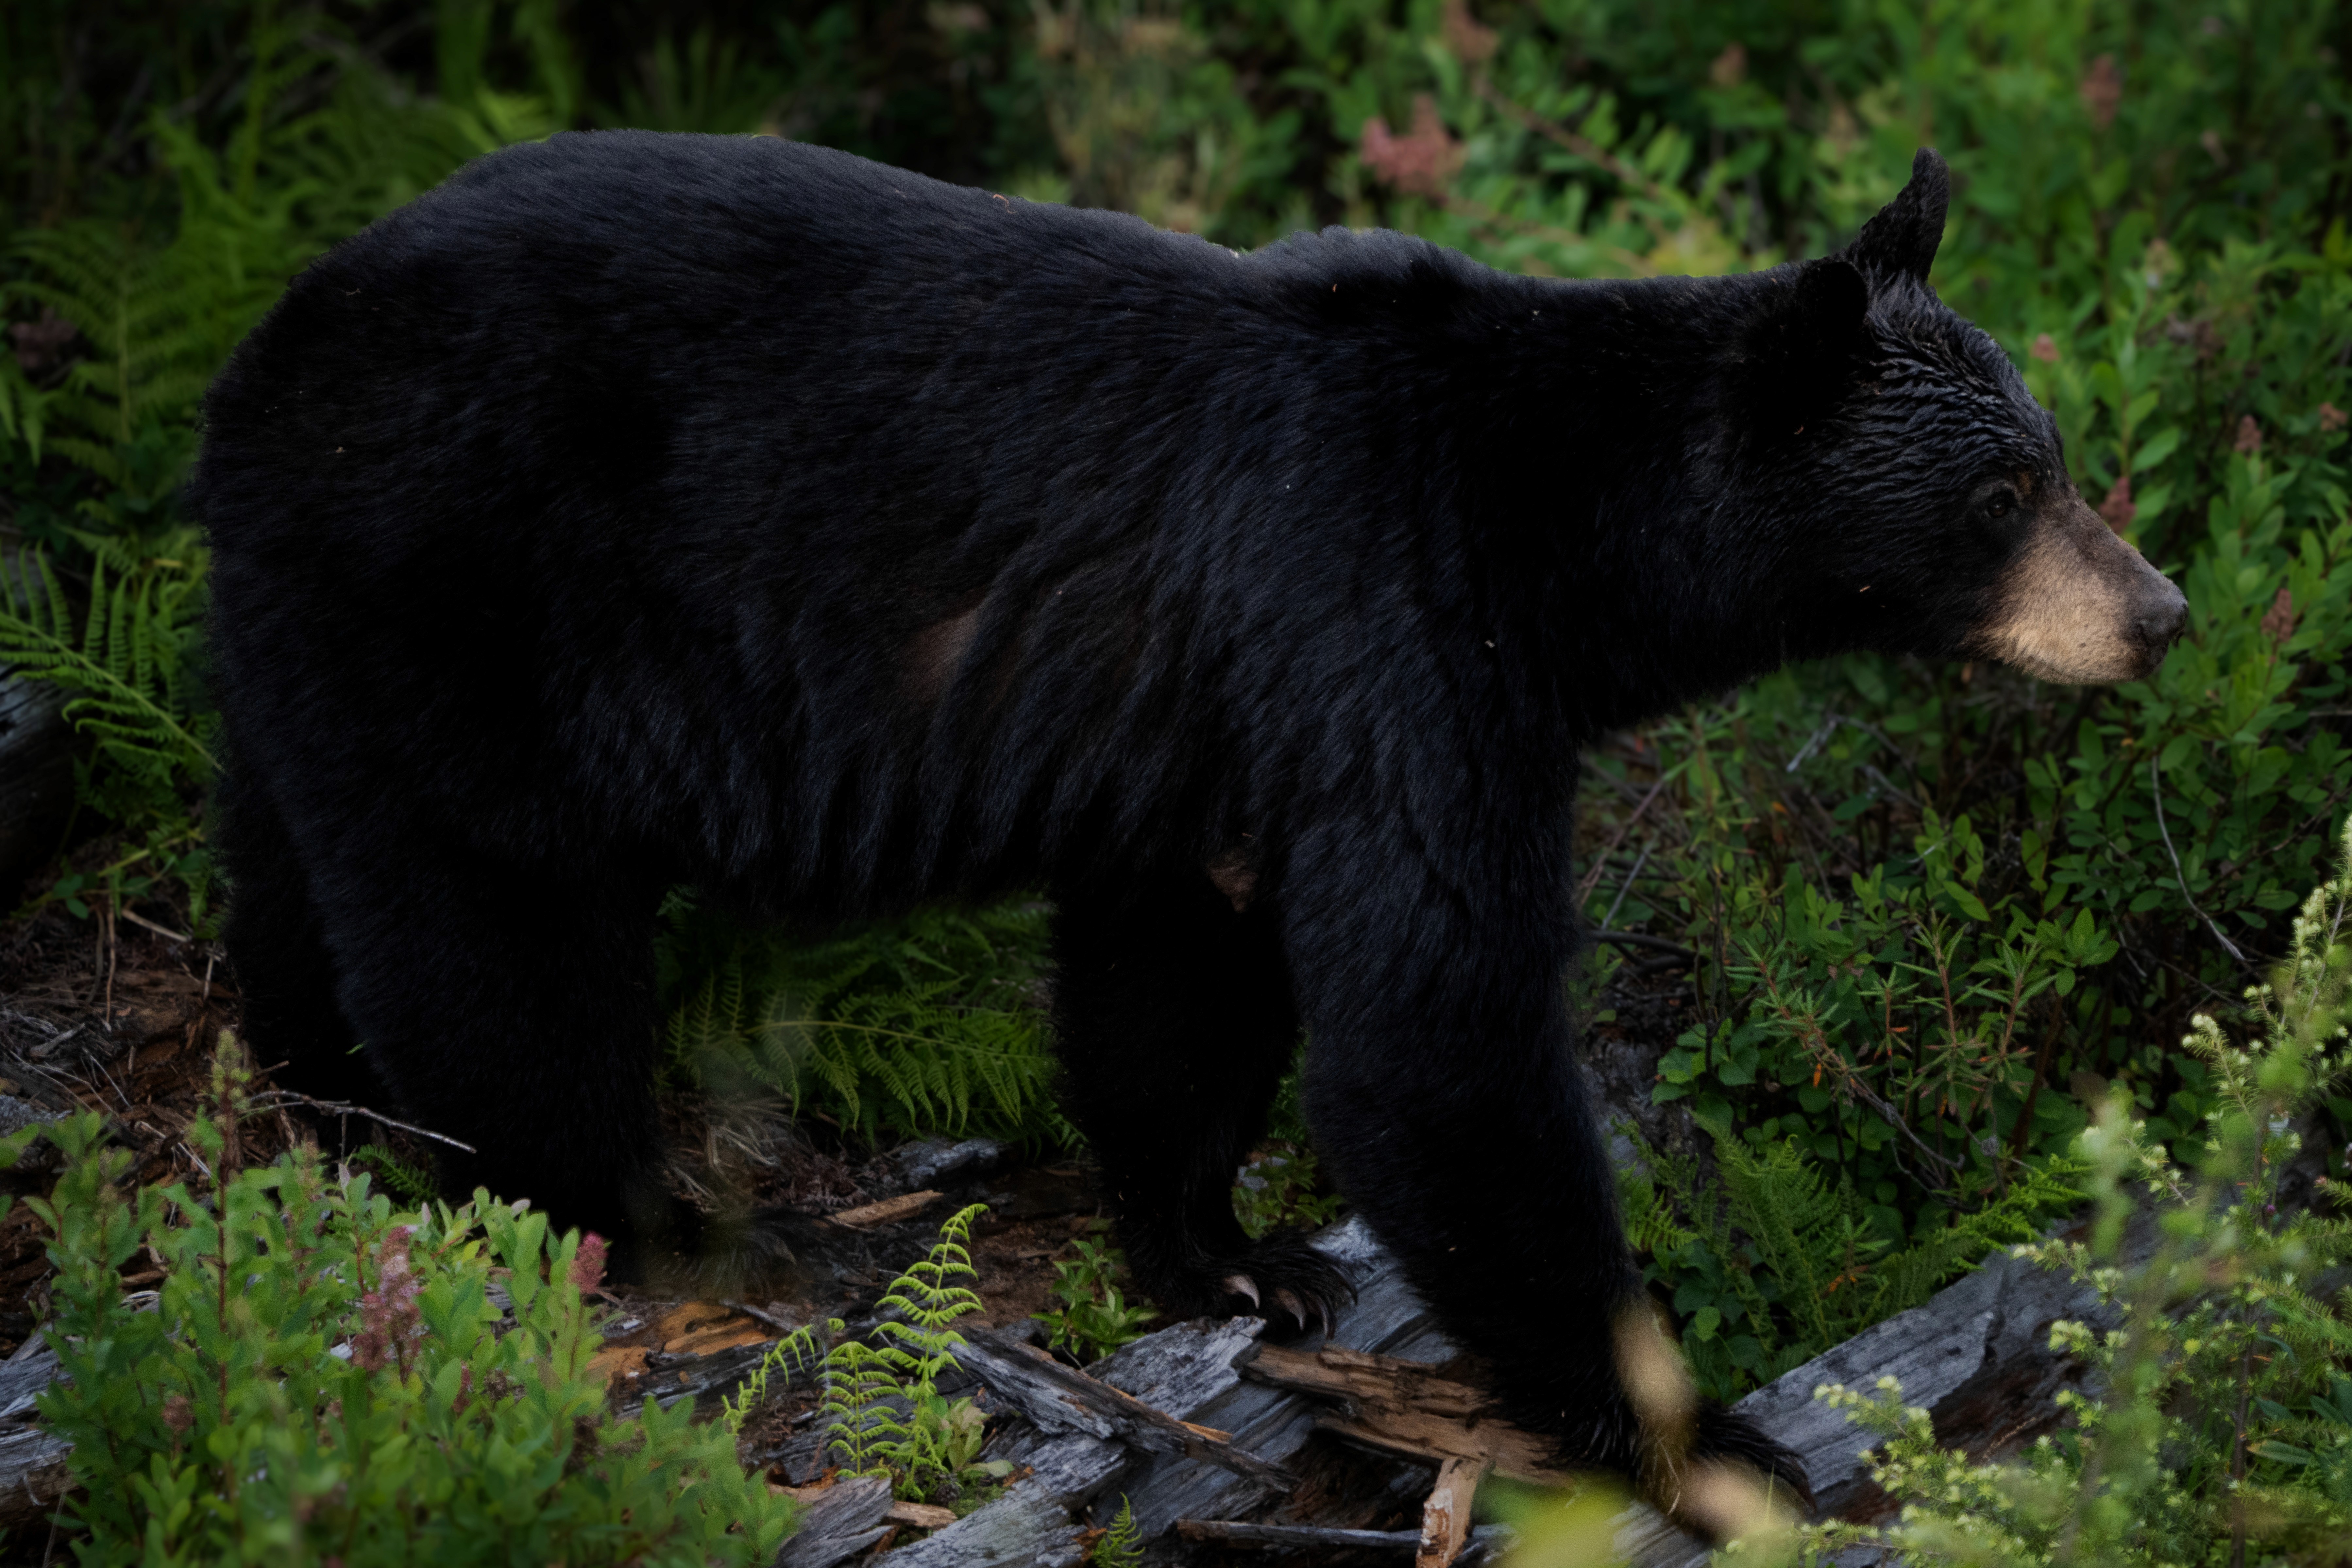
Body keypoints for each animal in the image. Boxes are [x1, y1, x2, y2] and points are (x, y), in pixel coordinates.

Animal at [189, 134, 2184, 1507]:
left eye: (2050, 461)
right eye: (2006, 493)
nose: (2158, 612)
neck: (1556, 533)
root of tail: (257, 351)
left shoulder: (1225, 721)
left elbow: (1181, 961)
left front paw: (1229, 1254)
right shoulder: (1381, 620)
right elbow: (1434, 1040)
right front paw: (1714, 1443)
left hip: (305, 624)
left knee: (292, 862)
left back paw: (318, 1087)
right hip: (454, 584)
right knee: (490, 930)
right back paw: (645, 1213)